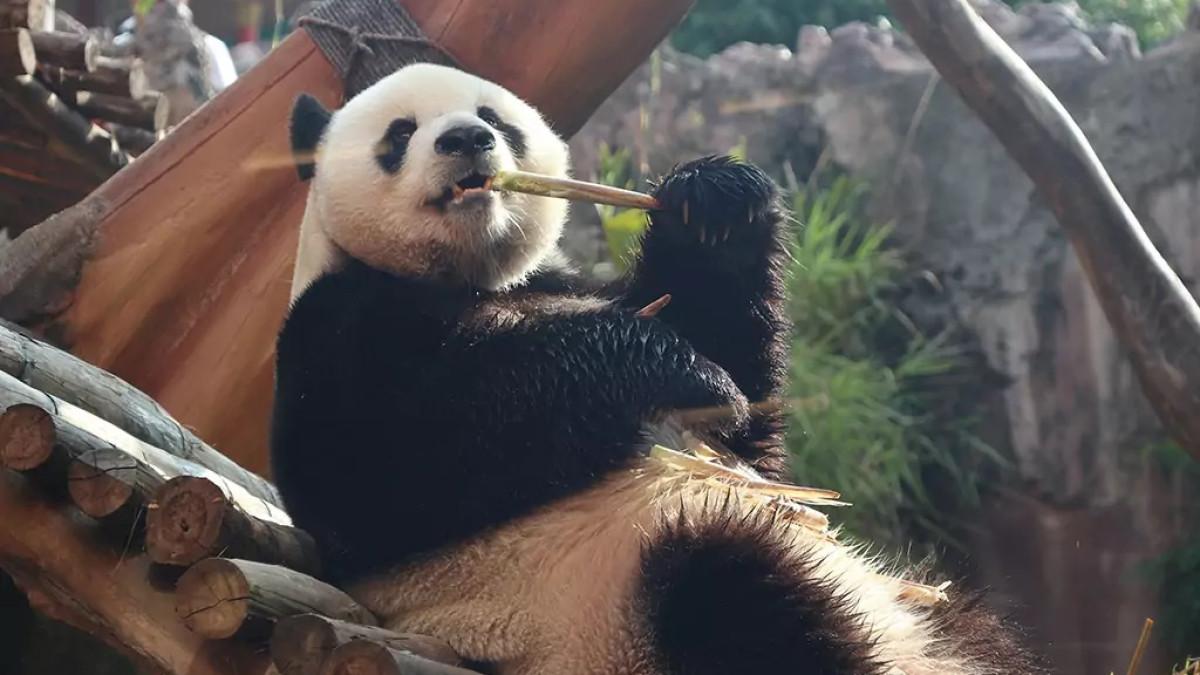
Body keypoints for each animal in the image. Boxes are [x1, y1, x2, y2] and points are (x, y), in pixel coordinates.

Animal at [270, 63, 1044, 675]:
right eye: (399, 134)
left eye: (494, 119)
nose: (466, 140)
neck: (480, 278)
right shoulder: (336, 324)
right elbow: (383, 470)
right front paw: (675, 369)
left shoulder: (569, 282)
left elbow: (744, 412)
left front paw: (716, 201)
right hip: (617, 608)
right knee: (733, 598)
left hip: (918, 605)